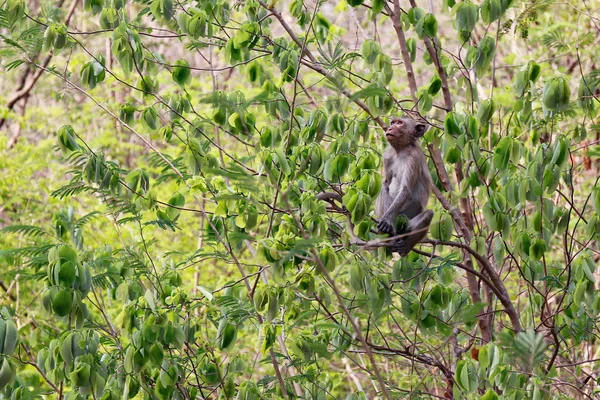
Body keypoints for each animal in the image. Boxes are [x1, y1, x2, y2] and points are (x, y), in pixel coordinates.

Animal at [378, 116, 434, 256]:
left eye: (399, 123)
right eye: (392, 123)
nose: (390, 128)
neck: (401, 150)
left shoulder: (413, 158)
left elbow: (406, 190)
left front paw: (387, 220)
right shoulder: (388, 156)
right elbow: (387, 182)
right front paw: (387, 222)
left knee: (428, 214)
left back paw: (404, 246)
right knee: (384, 187)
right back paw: (389, 234)